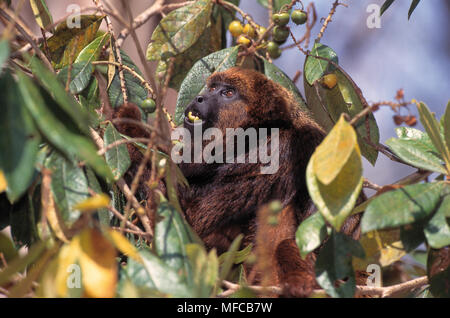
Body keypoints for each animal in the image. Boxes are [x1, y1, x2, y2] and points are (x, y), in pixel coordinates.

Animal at [115, 67, 358, 298]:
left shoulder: (278, 151)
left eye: (228, 93)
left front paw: (130, 125)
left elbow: (197, 216)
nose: (200, 97)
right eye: (213, 88)